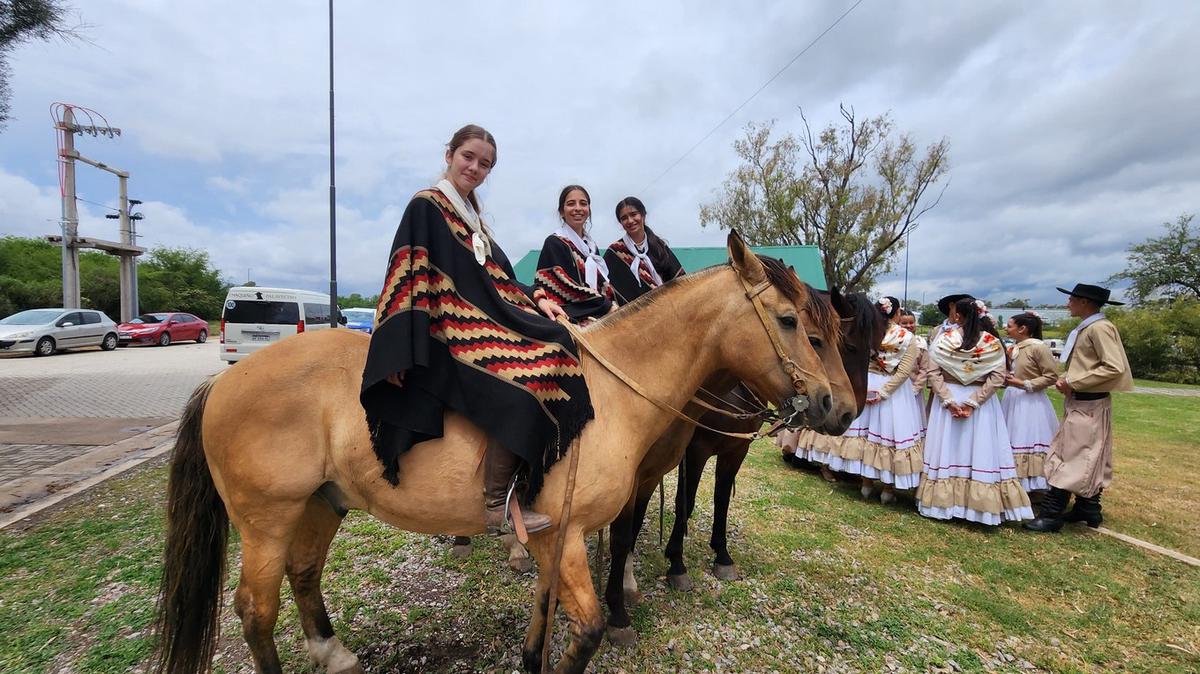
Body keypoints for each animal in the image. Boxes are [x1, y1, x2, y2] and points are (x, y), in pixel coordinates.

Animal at [154, 232, 859, 671]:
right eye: (792, 322)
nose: (841, 408)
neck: (614, 391)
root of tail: (223, 381)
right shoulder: (567, 535)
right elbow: (587, 630)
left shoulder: (551, 538)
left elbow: (544, 626)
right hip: (267, 518)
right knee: (255, 612)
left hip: (322, 503)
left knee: (303, 576)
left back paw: (336, 654)